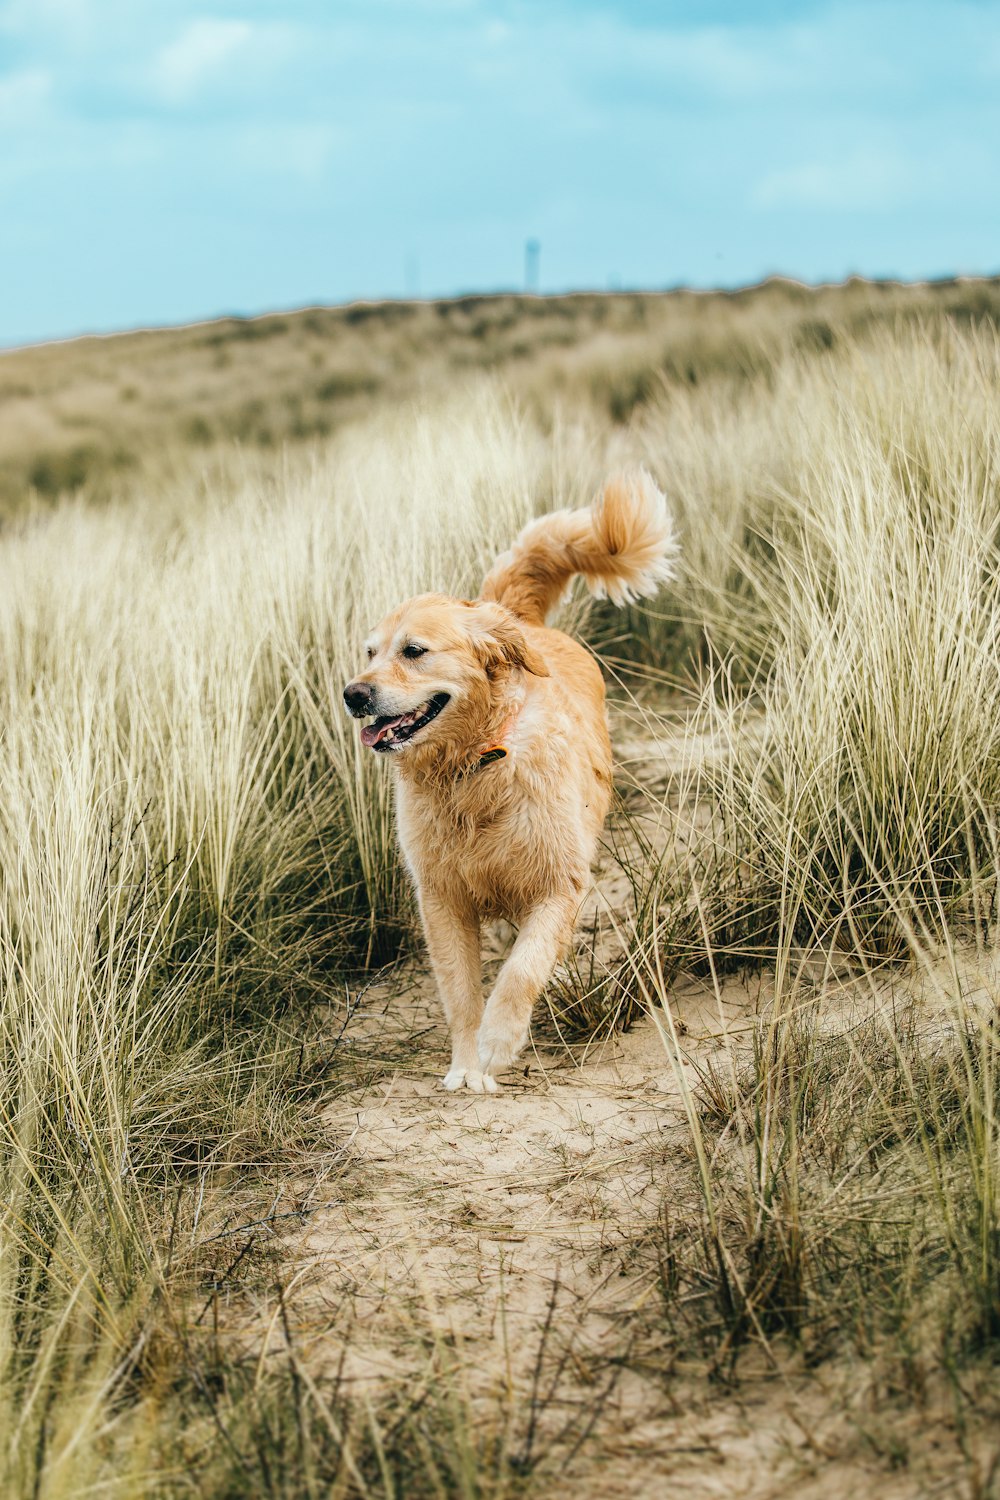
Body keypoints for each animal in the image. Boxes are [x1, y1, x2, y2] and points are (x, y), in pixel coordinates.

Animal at [344, 474, 680, 1098]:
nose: (353, 694)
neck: (472, 768)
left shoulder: (559, 883)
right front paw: (466, 1062)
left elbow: (523, 969)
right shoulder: (442, 898)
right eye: (370, 652)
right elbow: (460, 990)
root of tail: (516, 617)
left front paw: (498, 1042)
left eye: (414, 651)